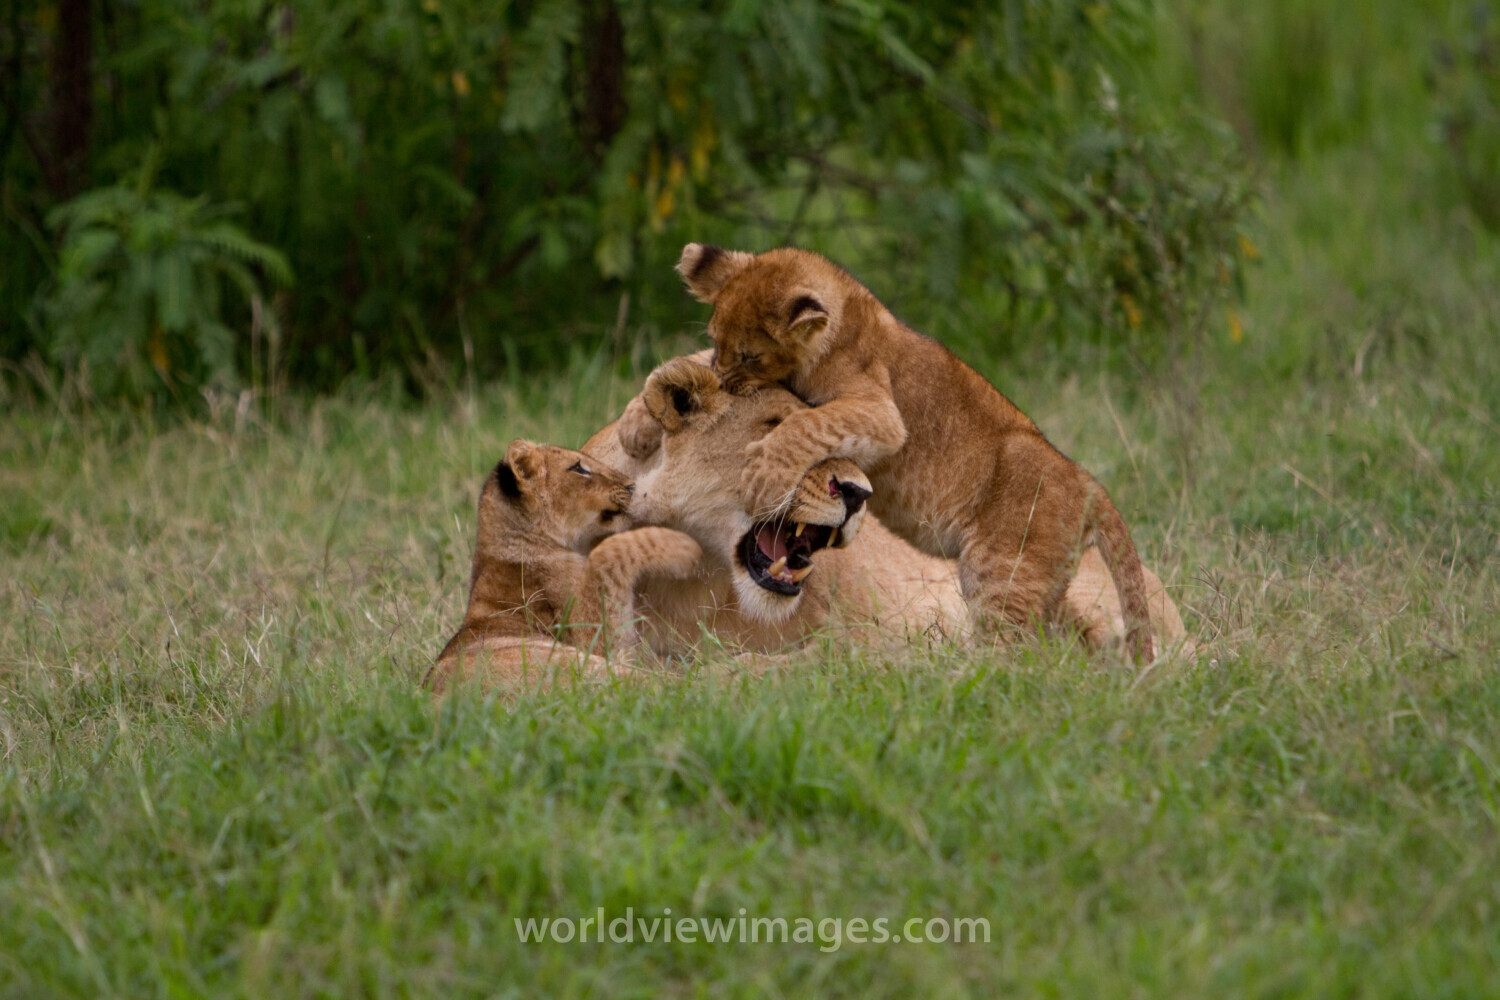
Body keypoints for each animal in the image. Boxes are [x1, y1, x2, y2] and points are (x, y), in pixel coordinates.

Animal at [425, 440, 701, 694]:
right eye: (578, 468)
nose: (632, 486)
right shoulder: (596, 640)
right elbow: (607, 551)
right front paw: (684, 546)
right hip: (575, 664)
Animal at [674, 243, 1156, 662]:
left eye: (749, 356)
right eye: (715, 340)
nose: (720, 379)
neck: (846, 318)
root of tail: (1087, 482)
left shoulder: (880, 412)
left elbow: (809, 423)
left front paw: (763, 475)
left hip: (1003, 569)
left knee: (1012, 653)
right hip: (1049, 585)